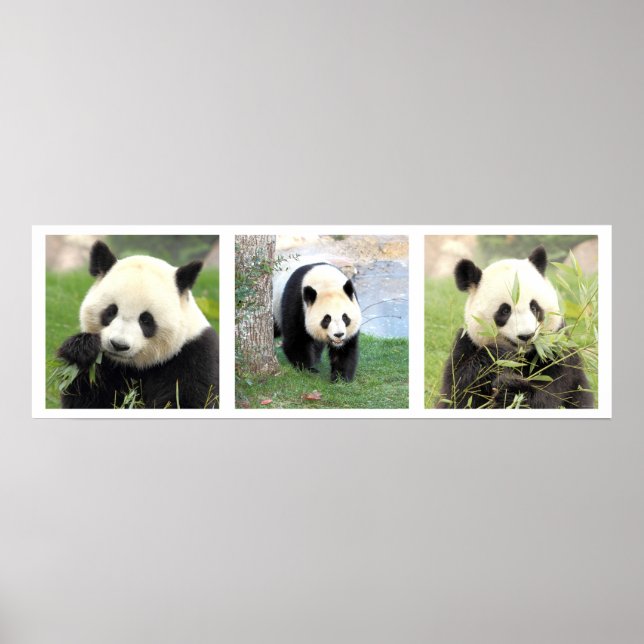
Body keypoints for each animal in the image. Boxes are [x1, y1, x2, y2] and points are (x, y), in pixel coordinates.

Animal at [57, 241, 219, 409]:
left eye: (146, 320)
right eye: (111, 311)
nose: (118, 345)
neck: (133, 365)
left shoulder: (193, 355)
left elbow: (187, 398)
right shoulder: (107, 365)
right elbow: (86, 396)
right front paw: (82, 349)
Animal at [437, 246, 593, 409]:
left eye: (534, 307)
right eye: (505, 311)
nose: (526, 336)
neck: (524, 357)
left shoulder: (558, 351)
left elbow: (549, 394)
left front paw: (510, 390)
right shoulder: (466, 344)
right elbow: (457, 393)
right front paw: (499, 354)